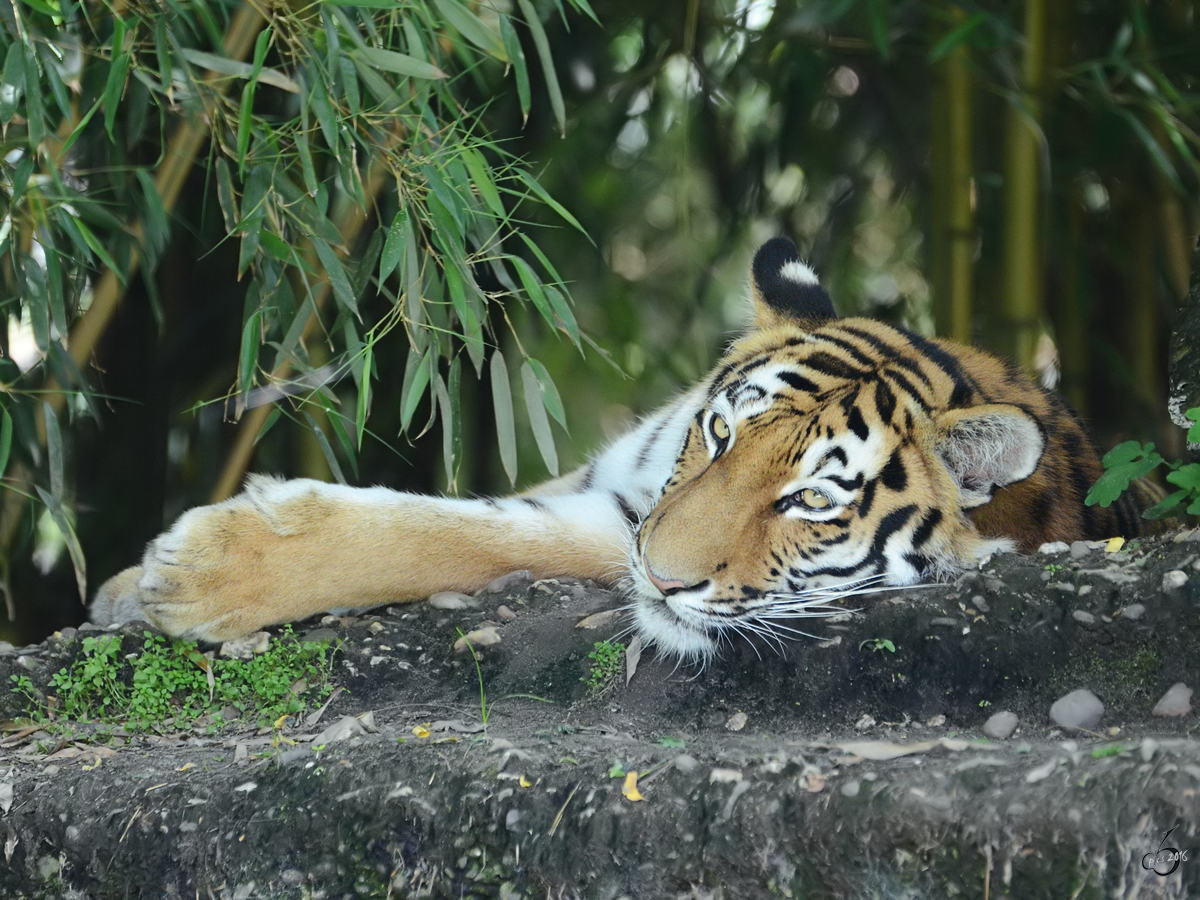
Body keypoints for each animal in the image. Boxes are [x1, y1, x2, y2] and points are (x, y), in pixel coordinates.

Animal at [91, 237, 1142, 662]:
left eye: (811, 502)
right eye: (720, 434)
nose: (666, 581)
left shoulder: (620, 521)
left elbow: (464, 530)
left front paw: (199, 572)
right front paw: (124, 588)